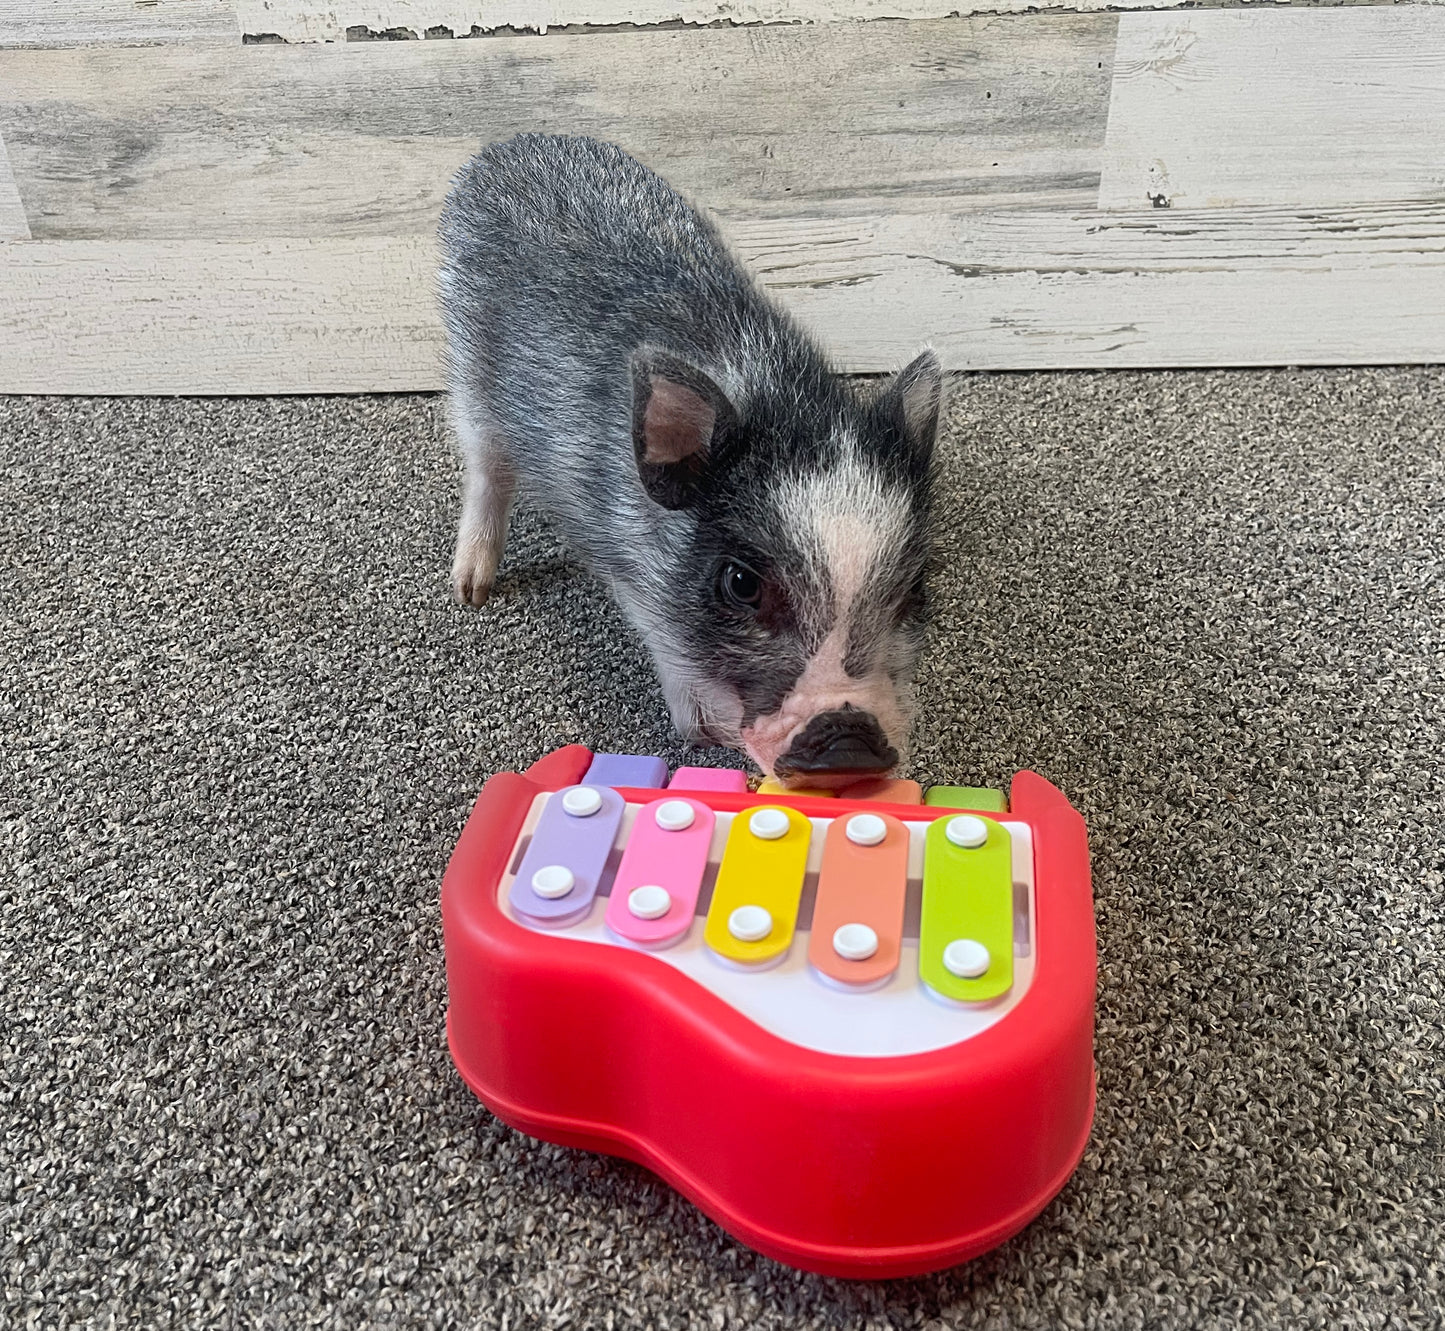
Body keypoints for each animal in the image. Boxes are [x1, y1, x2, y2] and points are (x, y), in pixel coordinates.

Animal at [433, 132, 942, 791]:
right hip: (467, 365)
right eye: (741, 583)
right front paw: (704, 734)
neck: (779, 399)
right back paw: (471, 590)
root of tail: (509, 145)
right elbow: (665, 640)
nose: (850, 743)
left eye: (915, 589)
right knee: (485, 466)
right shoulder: (627, 563)